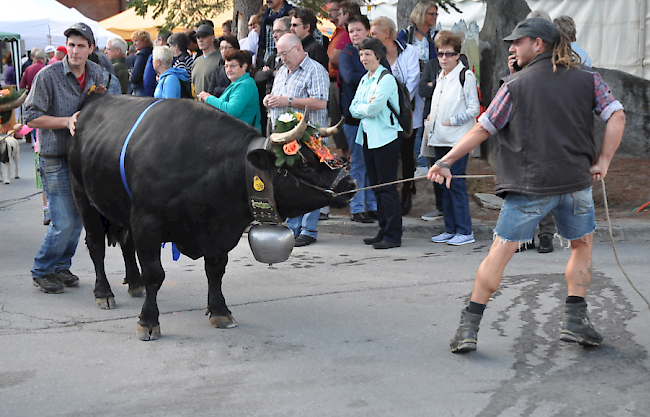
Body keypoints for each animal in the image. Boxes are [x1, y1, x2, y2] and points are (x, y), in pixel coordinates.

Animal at [69, 95, 354, 342]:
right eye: (303, 162)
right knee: (96, 246)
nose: (349, 183)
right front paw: (148, 322)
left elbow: (215, 270)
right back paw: (104, 293)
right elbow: (155, 274)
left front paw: (219, 311)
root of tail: (94, 101)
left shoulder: (220, 231)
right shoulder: (146, 222)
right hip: (83, 197)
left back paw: (134, 284)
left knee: (125, 244)